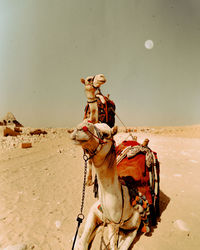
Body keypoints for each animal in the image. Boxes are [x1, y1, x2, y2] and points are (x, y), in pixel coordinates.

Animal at [71, 120, 146, 249]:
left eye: (105, 134)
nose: (79, 128)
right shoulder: (96, 212)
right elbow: (81, 243)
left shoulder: (134, 227)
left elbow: (121, 246)